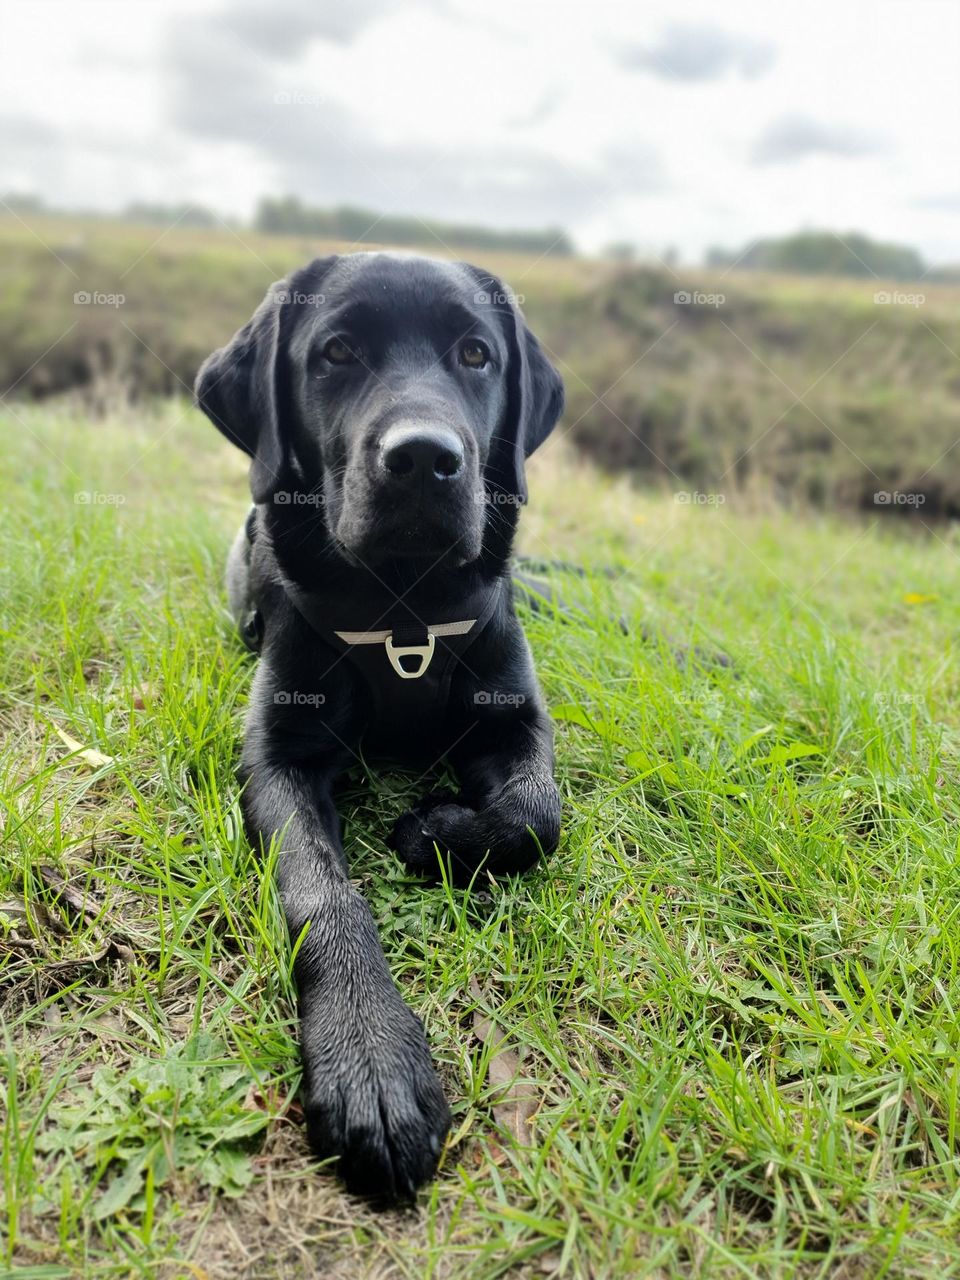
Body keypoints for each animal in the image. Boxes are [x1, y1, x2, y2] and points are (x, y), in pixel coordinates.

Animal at [195, 252, 568, 1198]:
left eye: (476, 354)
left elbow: (535, 817)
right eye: (337, 351)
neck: (404, 608)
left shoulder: (517, 722)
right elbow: (321, 894)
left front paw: (433, 831)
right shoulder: (277, 760)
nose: (425, 458)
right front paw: (369, 1057)